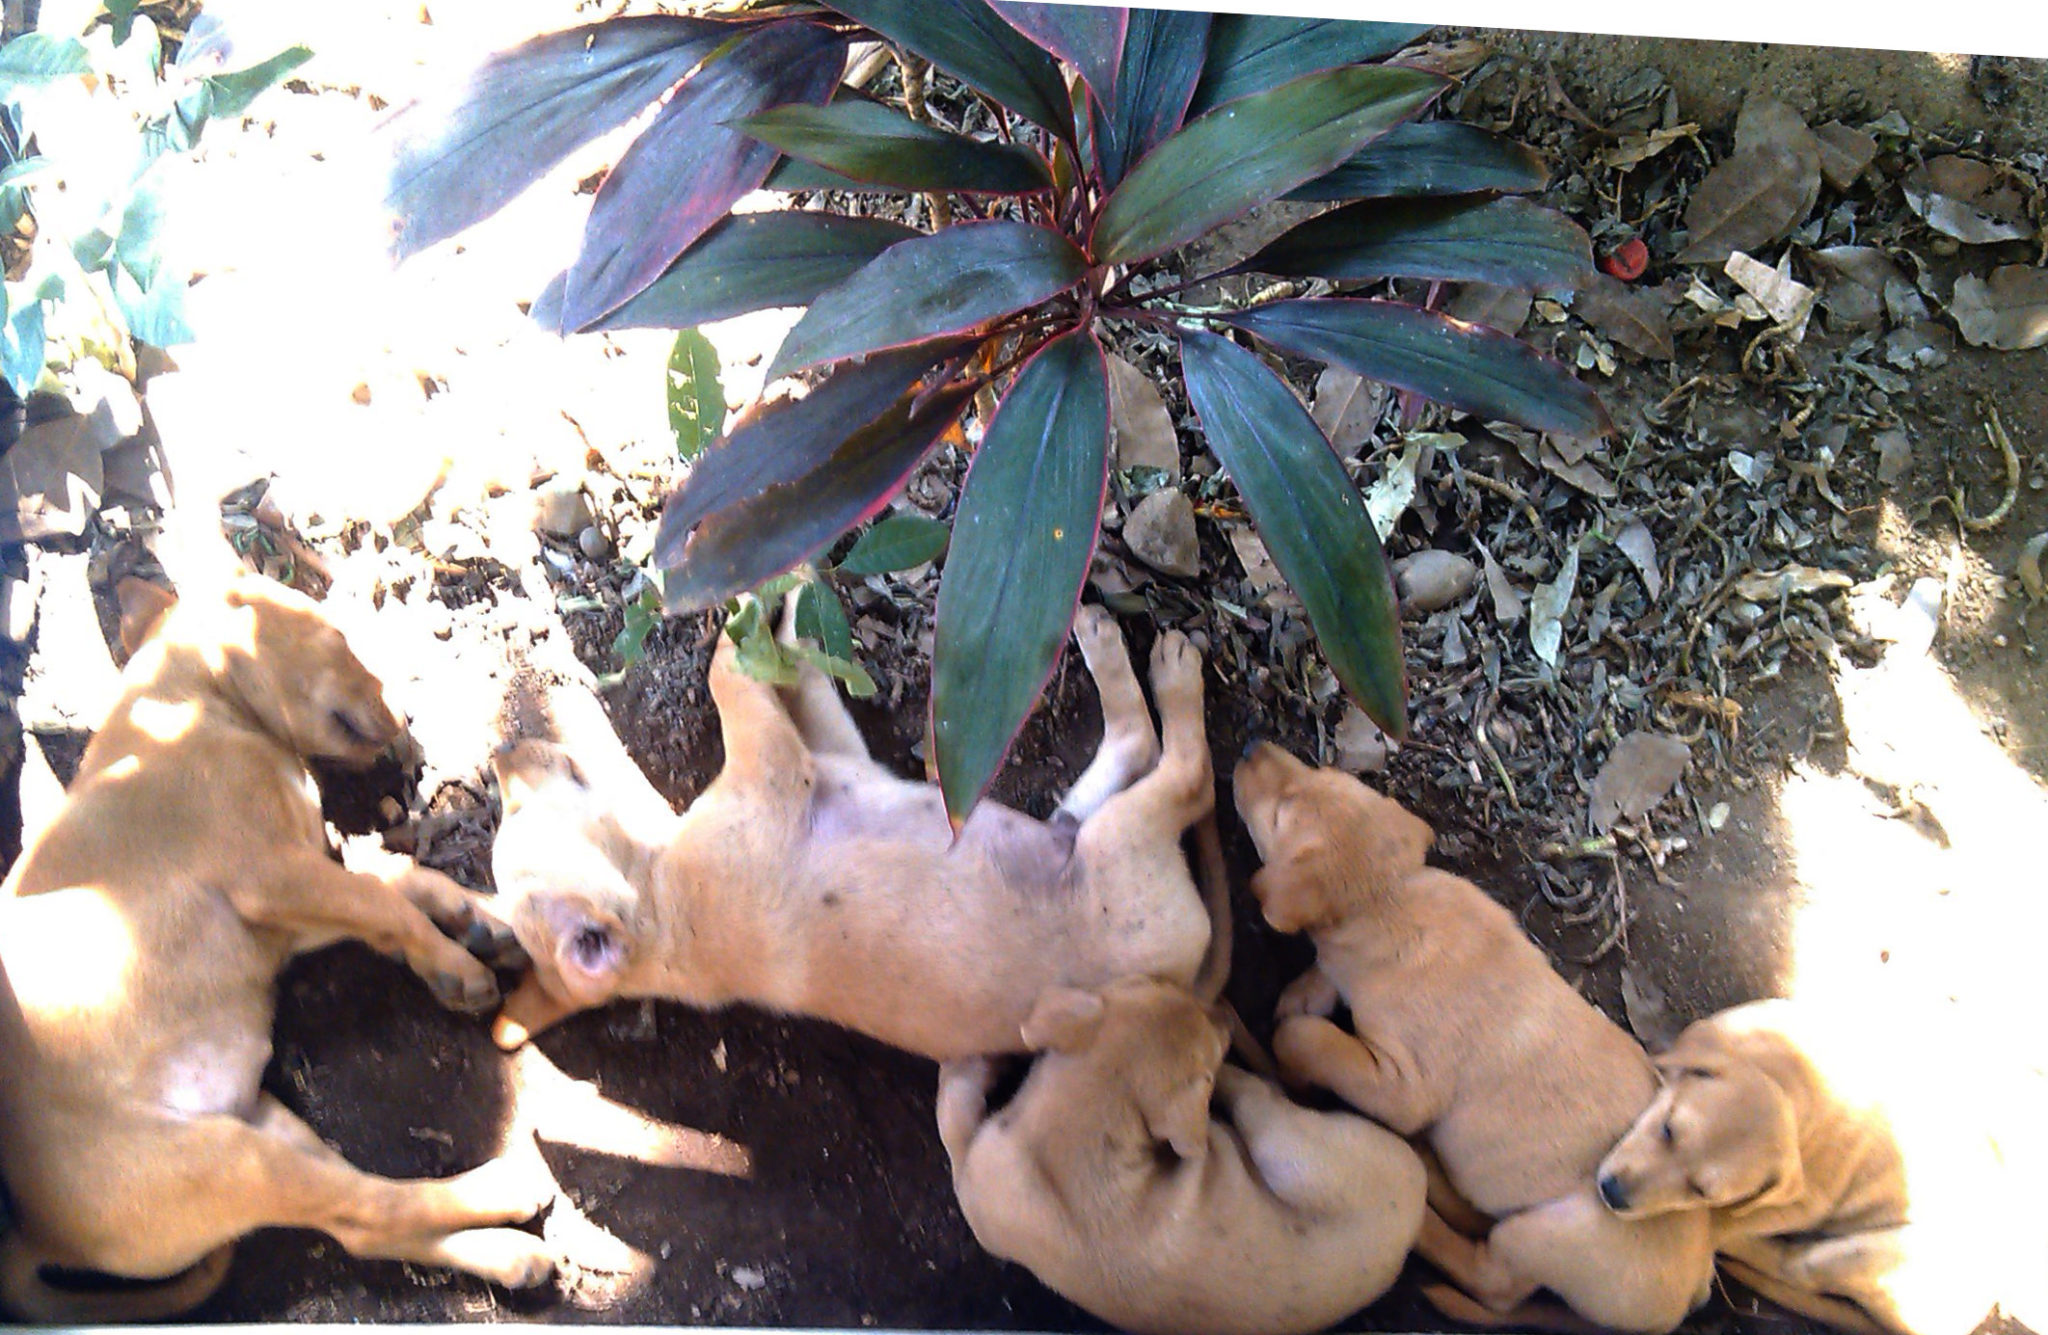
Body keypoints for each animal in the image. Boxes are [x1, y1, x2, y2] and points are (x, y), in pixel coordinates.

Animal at [0, 573, 557, 1326]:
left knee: (362, 1222)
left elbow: (403, 884)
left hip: (268, 1123)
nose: (406, 715)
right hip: (231, 1161)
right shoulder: (270, 875)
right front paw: (457, 968)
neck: (196, 708)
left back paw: (508, 1255)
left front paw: (483, 922)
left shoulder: (295, 896)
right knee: (370, 1208)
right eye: (338, 636)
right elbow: (384, 900)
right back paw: (506, 1189)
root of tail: (35, 1233)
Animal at [479, 606, 1212, 1064]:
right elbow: (727, 673)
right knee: (1184, 770)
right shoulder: (783, 762)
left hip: (1076, 823)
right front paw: (745, 619)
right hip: (1117, 840)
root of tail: (1185, 978)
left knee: (1135, 747)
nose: (502, 752)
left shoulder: (831, 750)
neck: (659, 893)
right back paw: (1171, 668)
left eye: (513, 812)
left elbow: (801, 662)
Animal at [937, 974, 1425, 1334]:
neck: (1074, 1135)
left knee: (1258, 1095)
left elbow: (953, 1119)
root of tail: (1410, 1226)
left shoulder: (973, 1186)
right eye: (1159, 984)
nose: (1222, 1014)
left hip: (1286, 1147)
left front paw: (967, 1068)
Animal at [1228, 745, 1712, 1326]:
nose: (1251, 746)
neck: (1391, 898)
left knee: (1491, 1281)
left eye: (1280, 815)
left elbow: (1310, 1039)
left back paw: (1420, 1218)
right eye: (1317, 772)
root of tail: (1696, 1287)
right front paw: (1303, 992)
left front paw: (1293, 1045)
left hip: (1553, 1231)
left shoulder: (1405, 1087)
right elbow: (1322, 976)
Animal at [1597, 995, 2048, 1334]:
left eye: (1702, 1190)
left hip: (1863, 1253)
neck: (1798, 1083)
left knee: (1791, 1266)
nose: (1612, 1193)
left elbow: (1727, 1220)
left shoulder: (1800, 1202)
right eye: (1668, 1130)